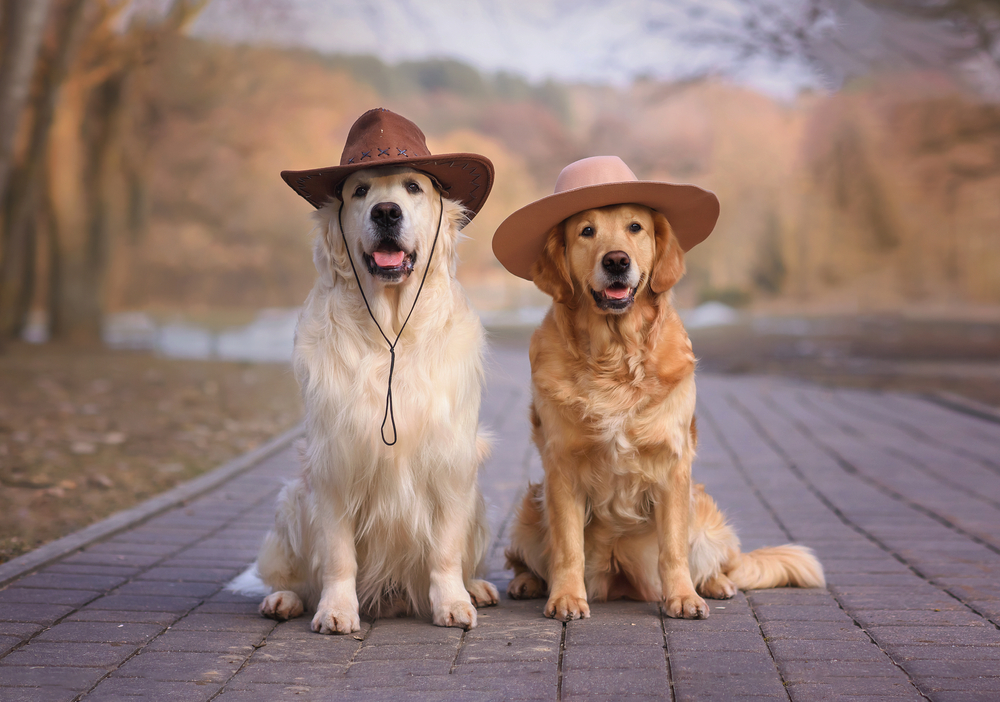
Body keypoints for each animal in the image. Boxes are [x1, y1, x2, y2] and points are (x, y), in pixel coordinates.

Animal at [504, 202, 824, 620]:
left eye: (635, 227)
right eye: (586, 231)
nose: (617, 261)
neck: (615, 357)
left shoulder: (673, 466)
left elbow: (673, 548)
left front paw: (683, 598)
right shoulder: (562, 469)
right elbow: (568, 548)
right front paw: (567, 598)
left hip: (702, 514)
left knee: (720, 562)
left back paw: (717, 584)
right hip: (529, 511)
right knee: (524, 560)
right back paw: (526, 583)